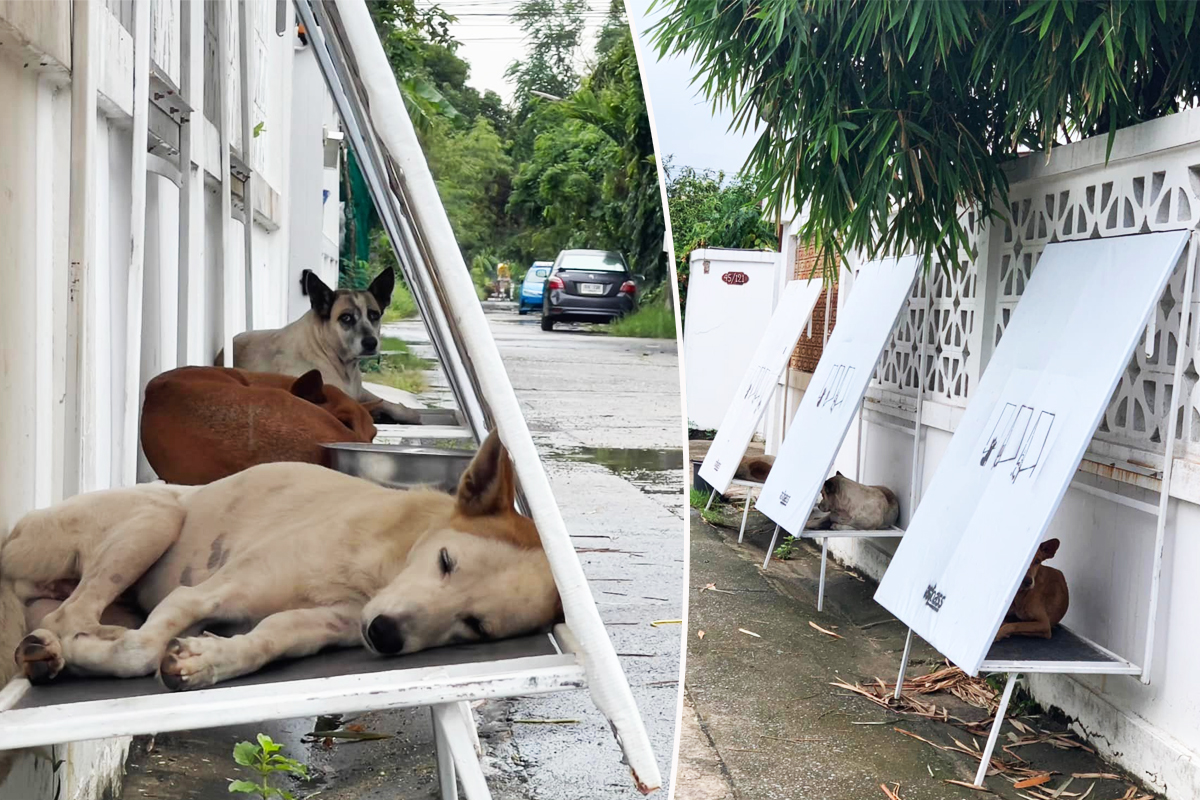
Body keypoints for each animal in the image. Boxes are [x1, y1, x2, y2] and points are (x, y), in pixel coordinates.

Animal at [0, 431, 561, 690]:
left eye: (476, 626)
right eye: (446, 561)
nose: (384, 636)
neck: (378, 569)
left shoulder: (316, 626)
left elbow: (266, 641)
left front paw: (209, 658)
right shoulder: (198, 594)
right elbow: (140, 653)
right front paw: (92, 654)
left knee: (69, 617)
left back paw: (55, 651)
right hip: (156, 518)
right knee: (69, 615)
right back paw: (67, 646)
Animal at [218, 268, 424, 424]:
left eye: (374, 315)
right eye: (346, 318)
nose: (371, 343)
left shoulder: (361, 392)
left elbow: (392, 404)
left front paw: (405, 412)